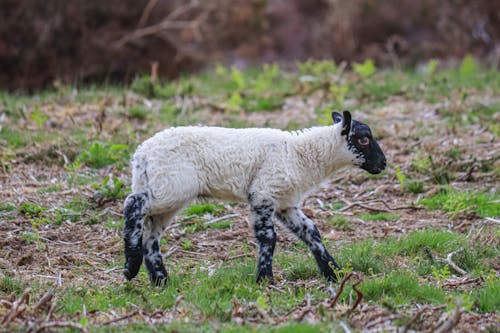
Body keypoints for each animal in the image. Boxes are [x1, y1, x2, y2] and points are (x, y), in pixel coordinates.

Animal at [122, 110, 386, 284]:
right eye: (363, 139)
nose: (383, 163)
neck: (300, 155)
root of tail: (141, 155)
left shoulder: (285, 202)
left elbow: (311, 231)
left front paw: (334, 273)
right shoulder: (264, 192)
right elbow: (268, 237)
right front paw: (264, 279)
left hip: (166, 192)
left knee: (150, 236)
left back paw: (160, 280)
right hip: (171, 185)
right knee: (133, 204)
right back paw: (131, 267)